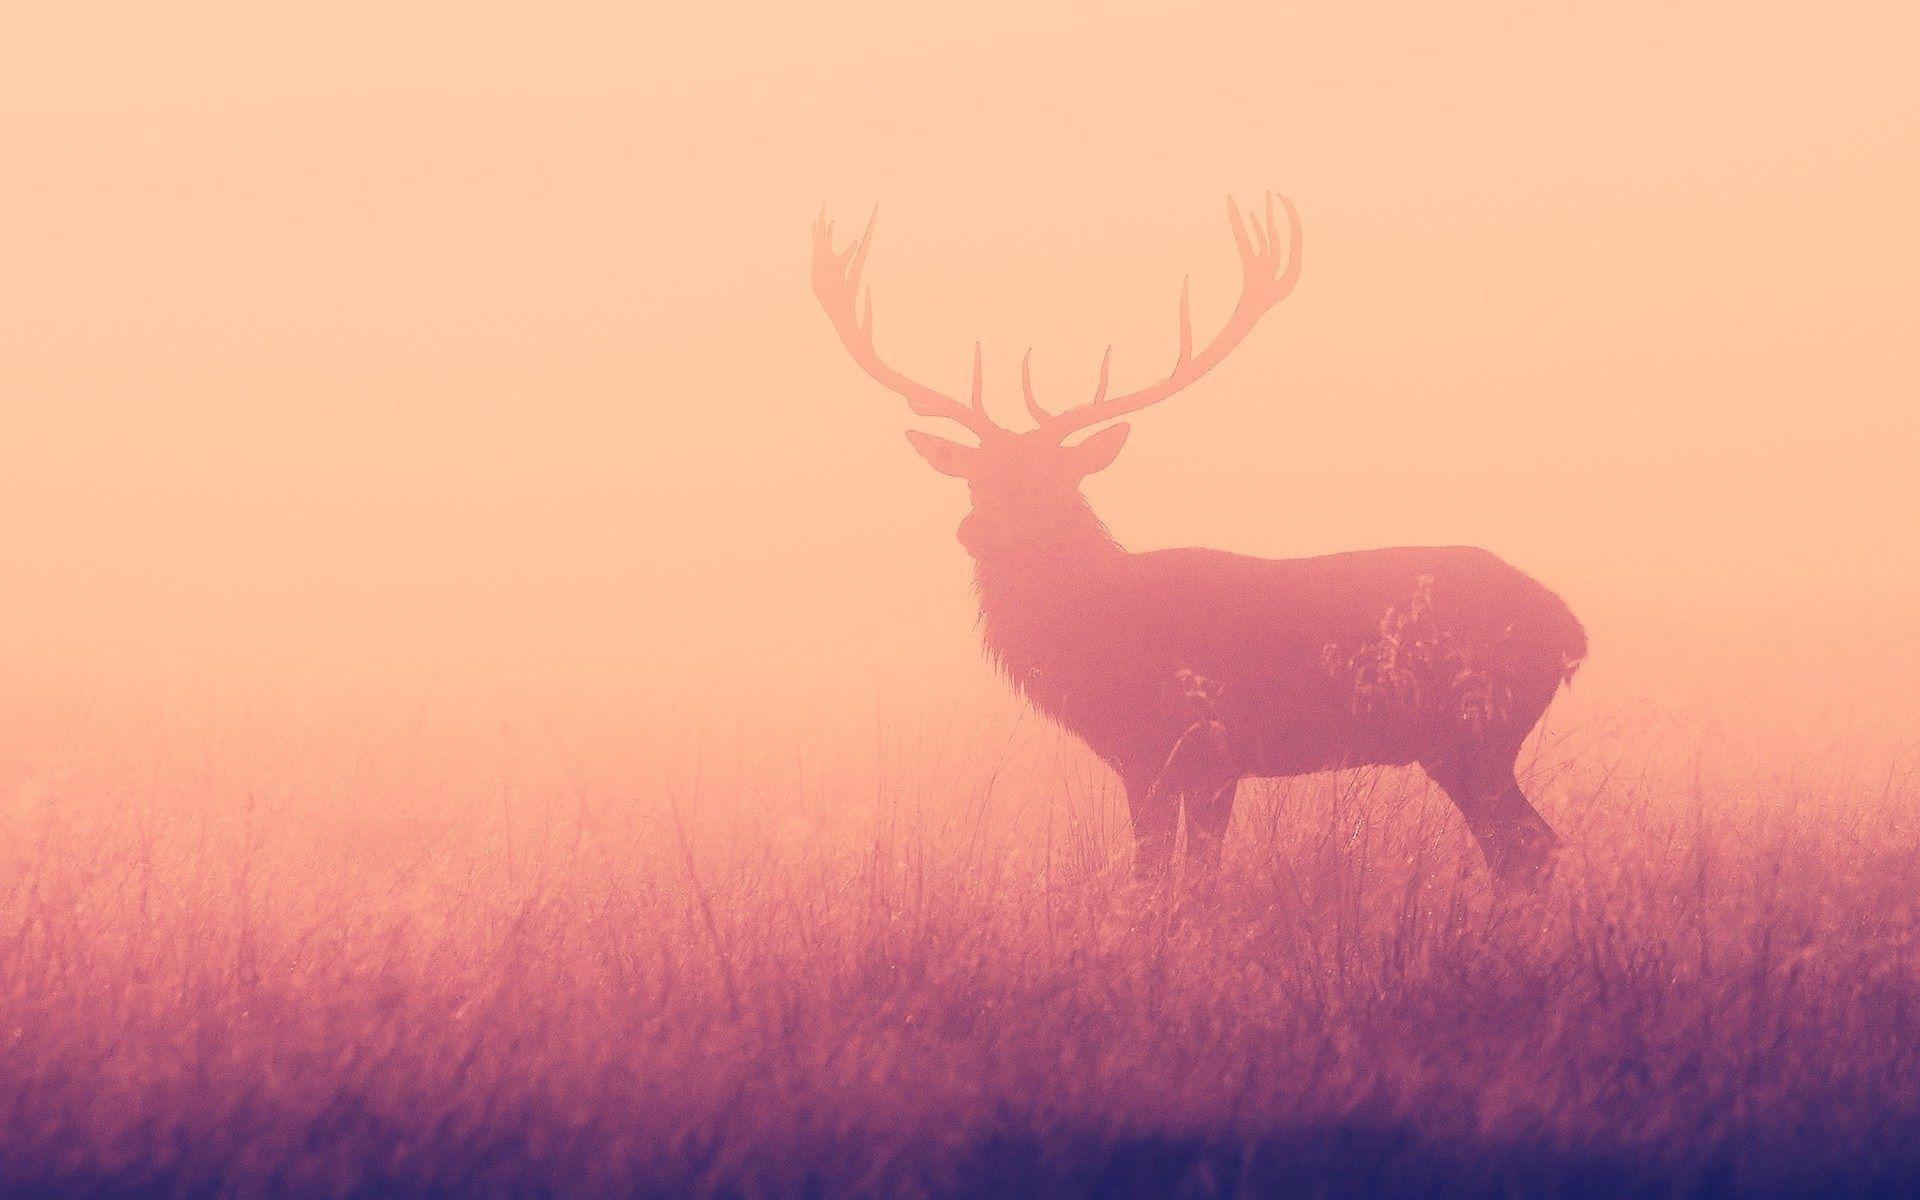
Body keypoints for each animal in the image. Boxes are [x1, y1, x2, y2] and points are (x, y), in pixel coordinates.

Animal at [809, 195, 1586, 884]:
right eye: (975, 479)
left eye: (1054, 480)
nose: (974, 531)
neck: (1098, 641)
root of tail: (1571, 631)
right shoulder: (1154, 758)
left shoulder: (1200, 747)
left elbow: (1179, 880)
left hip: (1473, 732)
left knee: (1531, 847)